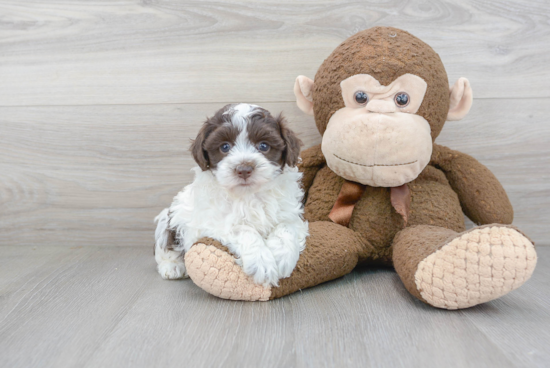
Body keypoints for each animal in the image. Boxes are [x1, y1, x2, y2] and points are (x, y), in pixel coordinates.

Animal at [155, 103, 308, 288]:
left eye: (264, 146)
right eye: (225, 147)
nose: (244, 169)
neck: (248, 195)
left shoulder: (290, 213)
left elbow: (286, 226)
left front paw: (282, 257)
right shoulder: (212, 223)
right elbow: (242, 229)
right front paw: (262, 262)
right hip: (169, 219)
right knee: (165, 246)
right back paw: (172, 266)